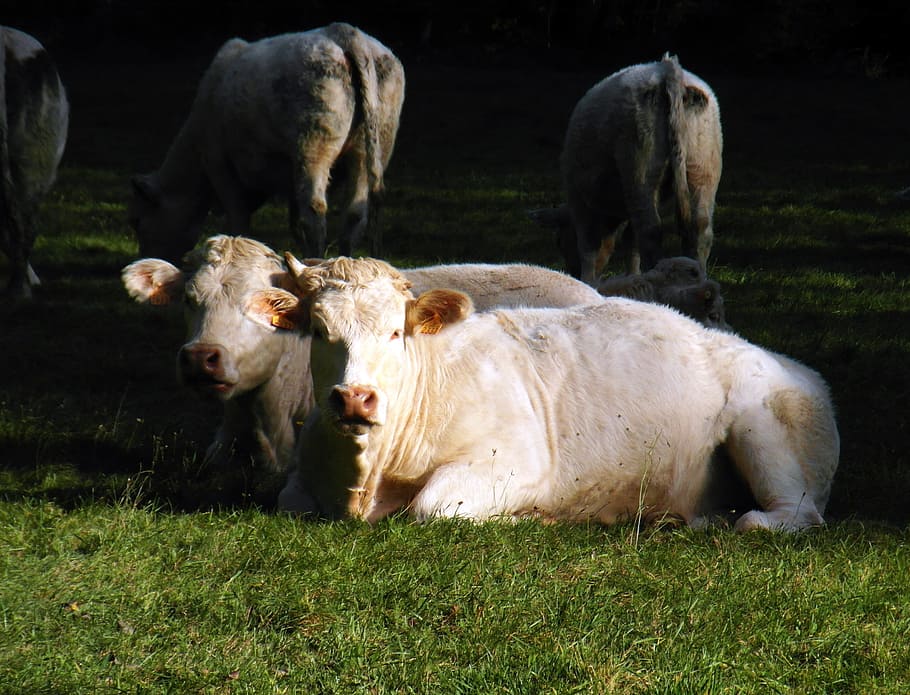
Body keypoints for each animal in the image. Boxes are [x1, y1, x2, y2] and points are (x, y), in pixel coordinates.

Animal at [127, 23, 405, 264]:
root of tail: (344, 32)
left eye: (137, 221)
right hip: (371, 147)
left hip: (314, 147)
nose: (144, 260)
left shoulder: (220, 164)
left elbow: (239, 220)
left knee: (315, 211)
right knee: (354, 213)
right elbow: (293, 221)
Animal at [247, 254, 839, 532]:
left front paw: (529, 516)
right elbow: (287, 500)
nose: (355, 399)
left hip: (763, 425)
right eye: (319, 330)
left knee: (791, 515)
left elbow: (433, 506)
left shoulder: (517, 460)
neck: (366, 480)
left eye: (396, 332)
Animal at [558, 53, 722, 285]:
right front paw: (631, 276)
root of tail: (668, 71)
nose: (570, 273)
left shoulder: (579, 200)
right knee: (700, 228)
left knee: (650, 230)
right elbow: (631, 244)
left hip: (641, 167)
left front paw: (588, 281)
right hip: (703, 166)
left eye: (560, 241)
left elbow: (588, 247)